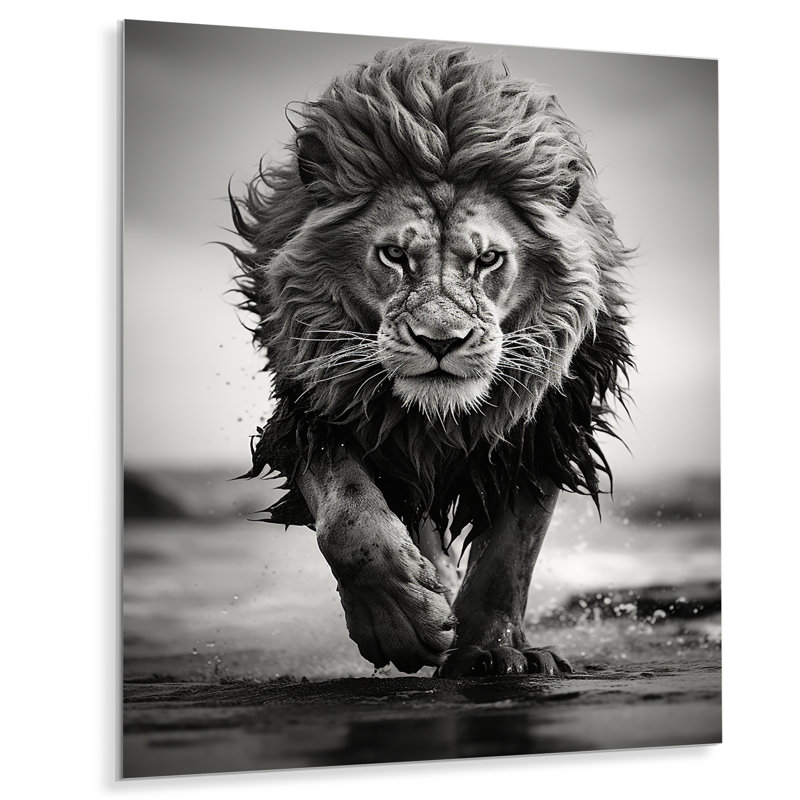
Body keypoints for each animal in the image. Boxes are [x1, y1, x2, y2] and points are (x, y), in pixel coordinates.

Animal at [227, 43, 632, 677]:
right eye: (395, 255)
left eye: (489, 260)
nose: (441, 342)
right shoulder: (314, 410)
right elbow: (349, 520)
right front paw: (400, 623)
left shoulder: (547, 425)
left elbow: (510, 552)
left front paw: (489, 649)